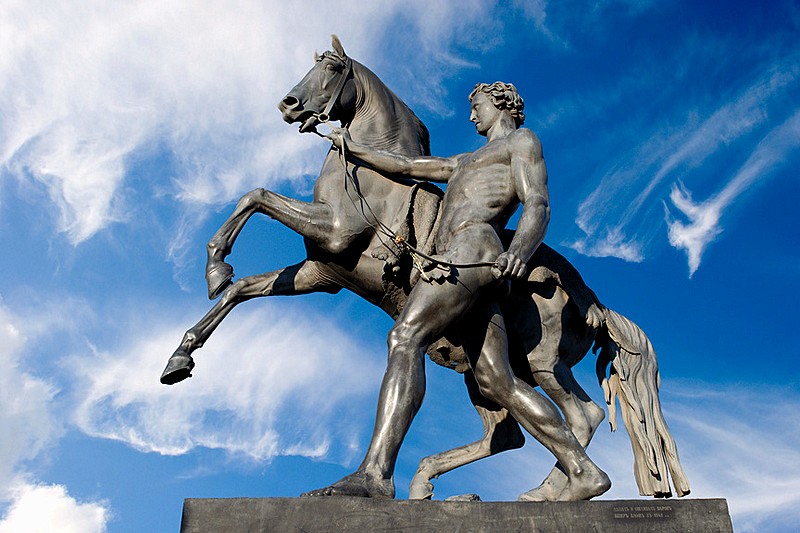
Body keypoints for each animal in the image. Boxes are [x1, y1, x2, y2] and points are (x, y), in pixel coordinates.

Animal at [159, 35, 692, 500]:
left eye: (331, 67)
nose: (289, 104)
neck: (365, 173)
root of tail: (591, 298)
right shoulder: (321, 272)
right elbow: (243, 287)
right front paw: (183, 352)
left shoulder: (335, 231)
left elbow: (257, 195)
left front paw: (215, 263)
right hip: (484, 358)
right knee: (514, 423)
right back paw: (496, 487)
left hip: (539, 359)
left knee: (577, 415)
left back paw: (546, 488)